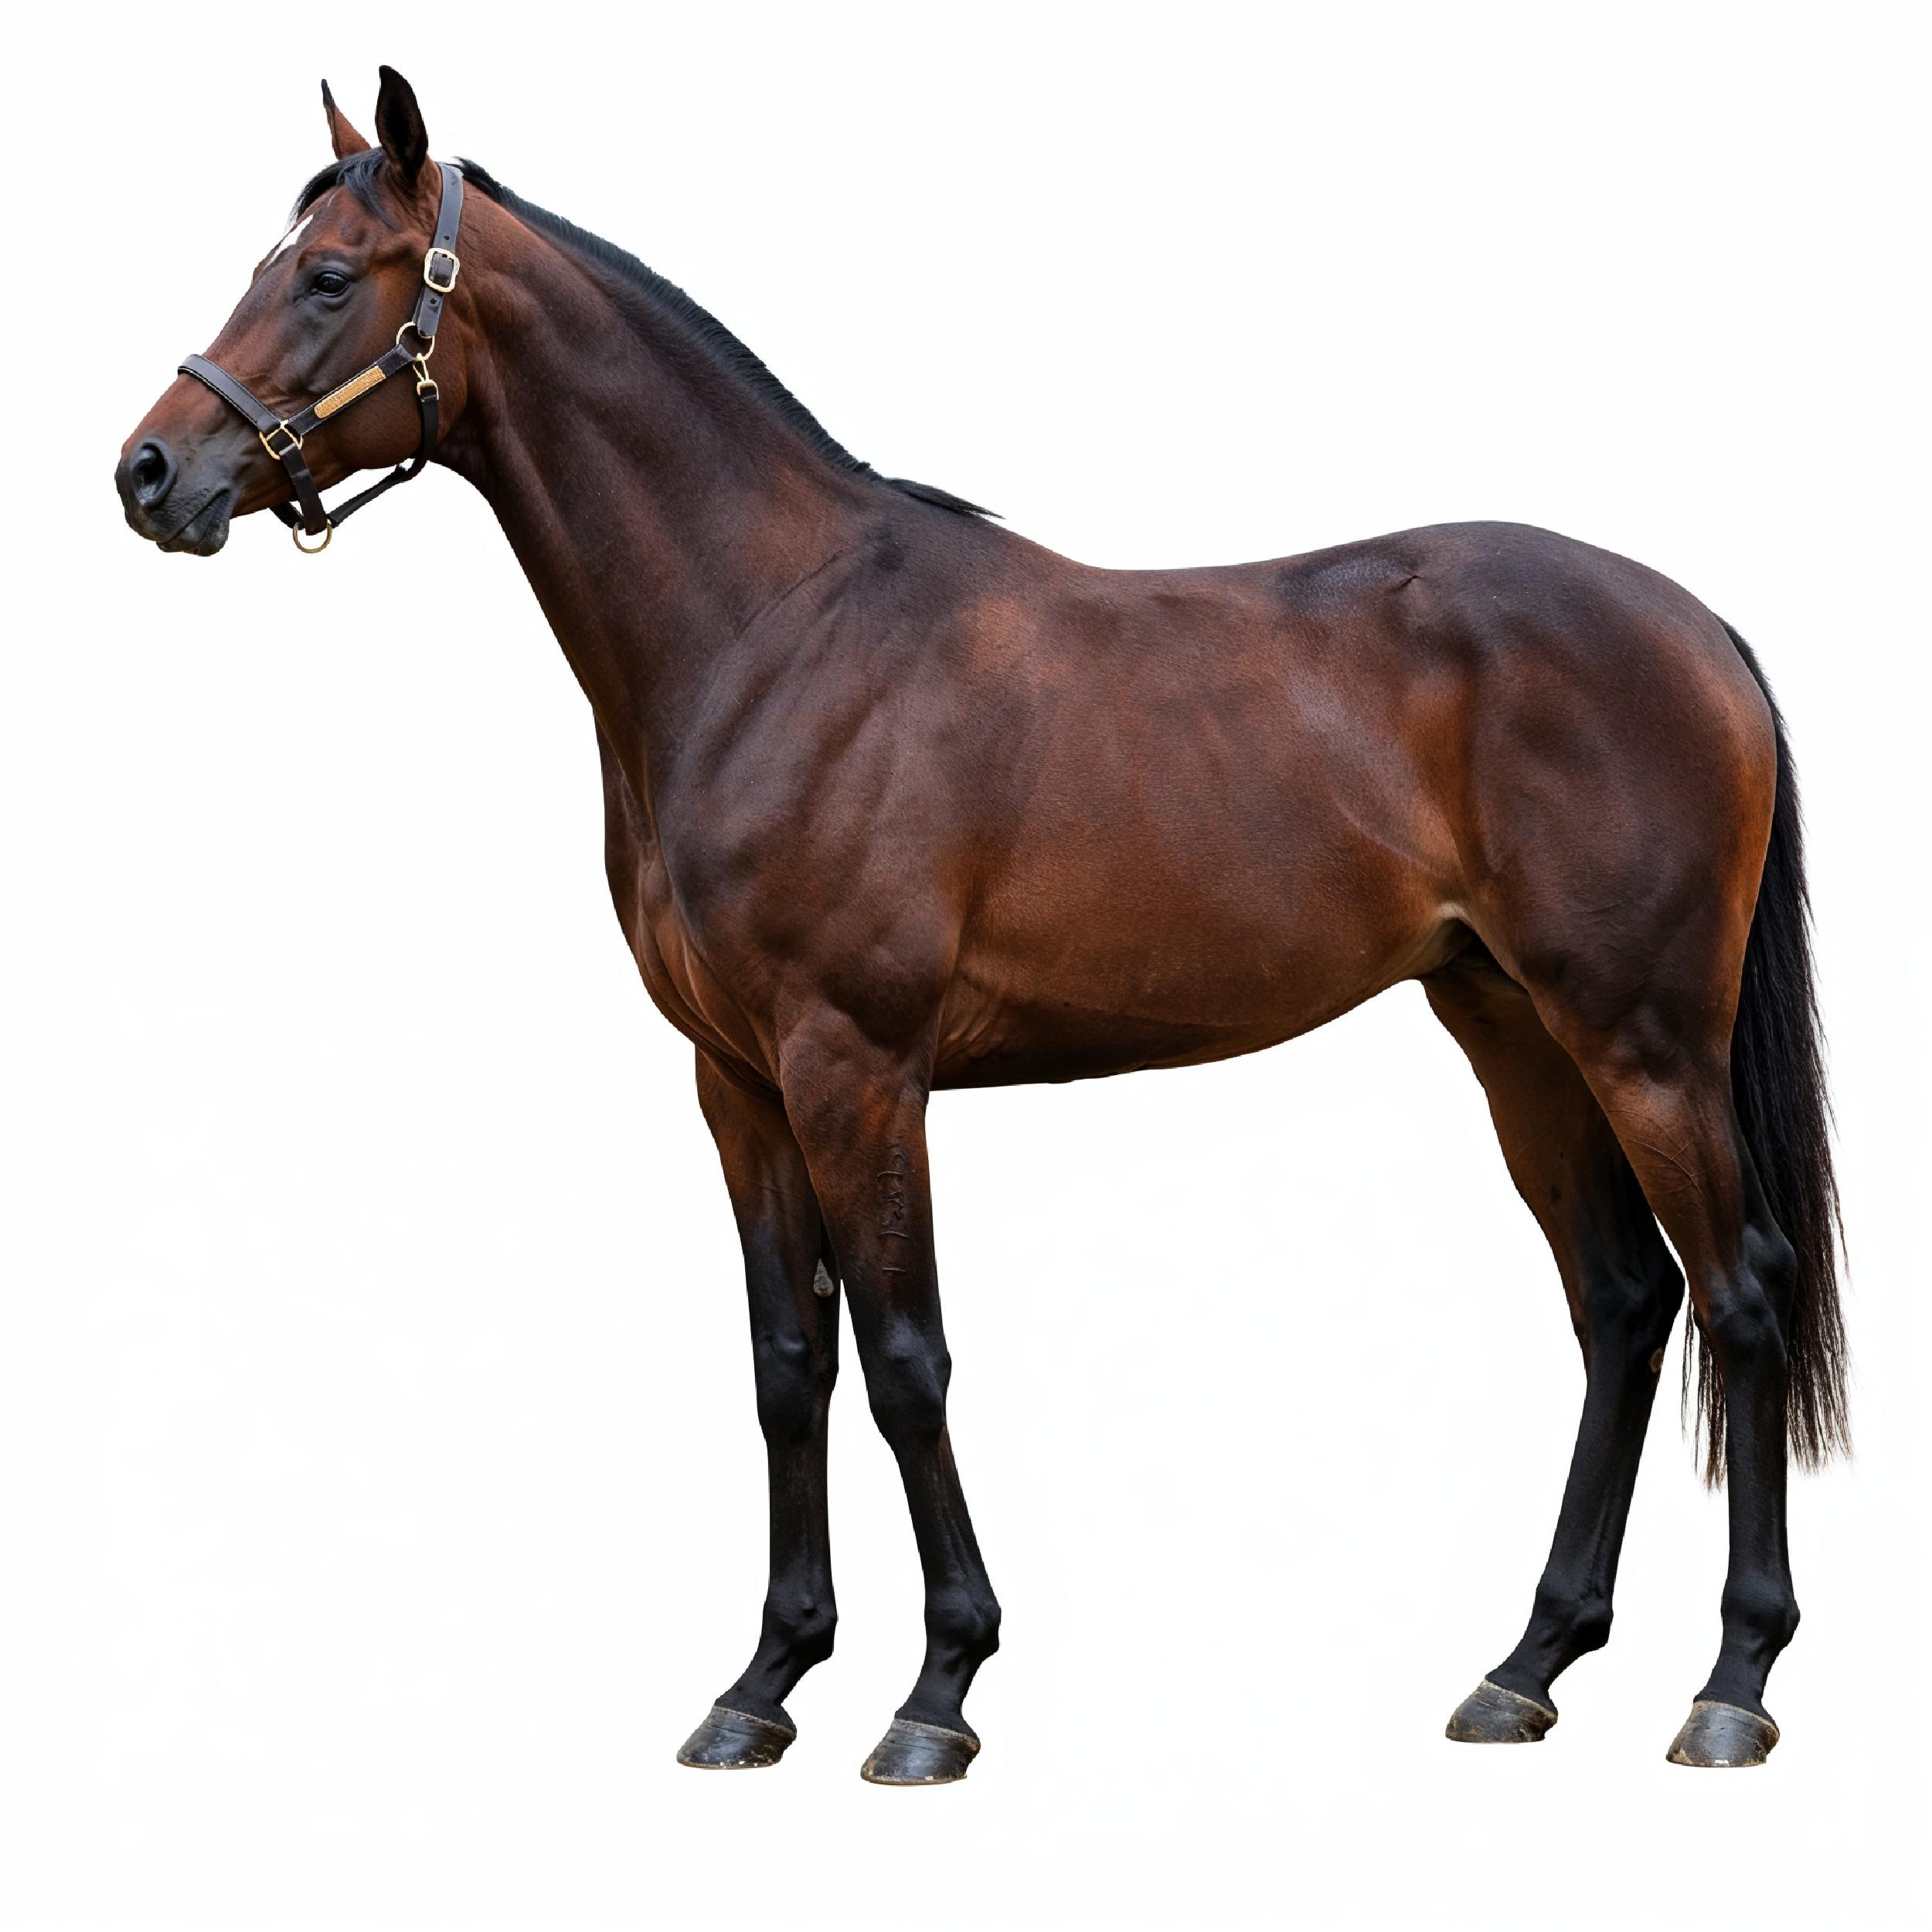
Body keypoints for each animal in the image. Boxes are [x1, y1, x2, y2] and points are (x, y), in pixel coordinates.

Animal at [116, 68, 1845, 1782]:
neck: (768, 631)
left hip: (1641, 1039)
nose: (148, 474)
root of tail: (1696, 627)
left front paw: (934, 1690)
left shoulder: (857, 1069)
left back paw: (1731, 1683)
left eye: (327, 276)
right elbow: (788, 1368)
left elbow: (904, 1362)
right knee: (1621, 1305)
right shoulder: (738, 1085)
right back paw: (1525, 1665)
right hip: (1510, 1027)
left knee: (1740, 1291)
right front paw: (764, 1681)